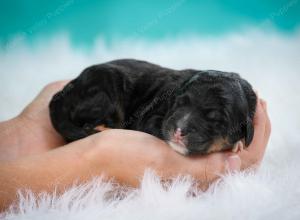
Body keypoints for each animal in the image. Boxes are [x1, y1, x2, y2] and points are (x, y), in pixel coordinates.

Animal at [48, 58, 255, 155]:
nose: (178, 131)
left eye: (216, 119)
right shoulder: (152, 116)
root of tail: (66, 90)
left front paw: (237, 143)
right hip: (103, 94)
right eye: (180, 103)